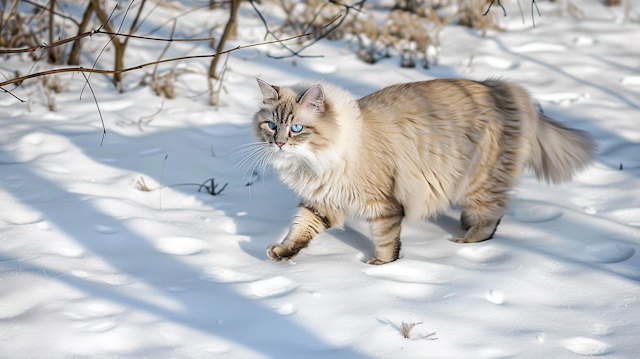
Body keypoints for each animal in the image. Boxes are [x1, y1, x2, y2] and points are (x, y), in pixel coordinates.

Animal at [250, 78, 596, 264]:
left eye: (296, 128)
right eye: (271, 125)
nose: (279, 143)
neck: (314, 161)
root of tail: (501, 87)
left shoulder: (382, 205)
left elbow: (387, 241)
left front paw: (380, 267)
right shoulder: (321, 202)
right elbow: (299, 230)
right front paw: (282, 252)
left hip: (479, 182)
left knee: (490, 218)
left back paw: (466, 245)